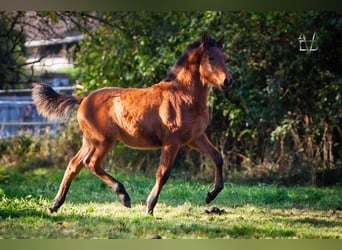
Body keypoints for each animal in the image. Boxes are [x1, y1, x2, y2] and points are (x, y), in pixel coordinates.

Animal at [32, 34, 234, 215]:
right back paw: (123, 196)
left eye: (225, 58)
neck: (184, 96)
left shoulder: (195, 138)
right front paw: (150, 206)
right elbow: (163, 173)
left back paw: (55, 204)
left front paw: (210, 195)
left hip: (90, 141)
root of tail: (83, 99)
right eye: (210, 58)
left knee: (74, 164)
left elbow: (218, 157)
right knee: (91, 163)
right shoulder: (172, 142)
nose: (228, 81)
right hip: (104, 141)